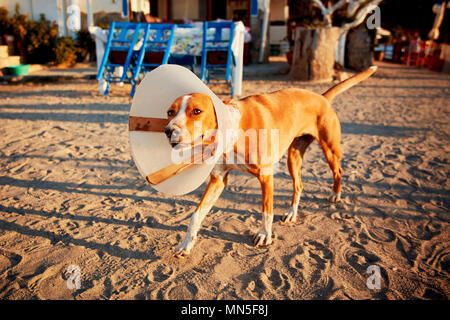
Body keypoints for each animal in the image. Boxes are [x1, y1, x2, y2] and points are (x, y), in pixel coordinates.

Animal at [163, 66, 378, 256]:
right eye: (170, 112)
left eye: (197, 111)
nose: (168, 131)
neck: (233, 131)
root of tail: (322, 97)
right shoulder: (218, 180)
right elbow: (196, 215)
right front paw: (186, 244)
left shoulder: (266, 177)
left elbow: (267, 211)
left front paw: (264, 235)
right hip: (293, 158)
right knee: (299, 186)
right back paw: (292, 213)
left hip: (329, 150)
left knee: (338, 171)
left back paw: (335, 195)